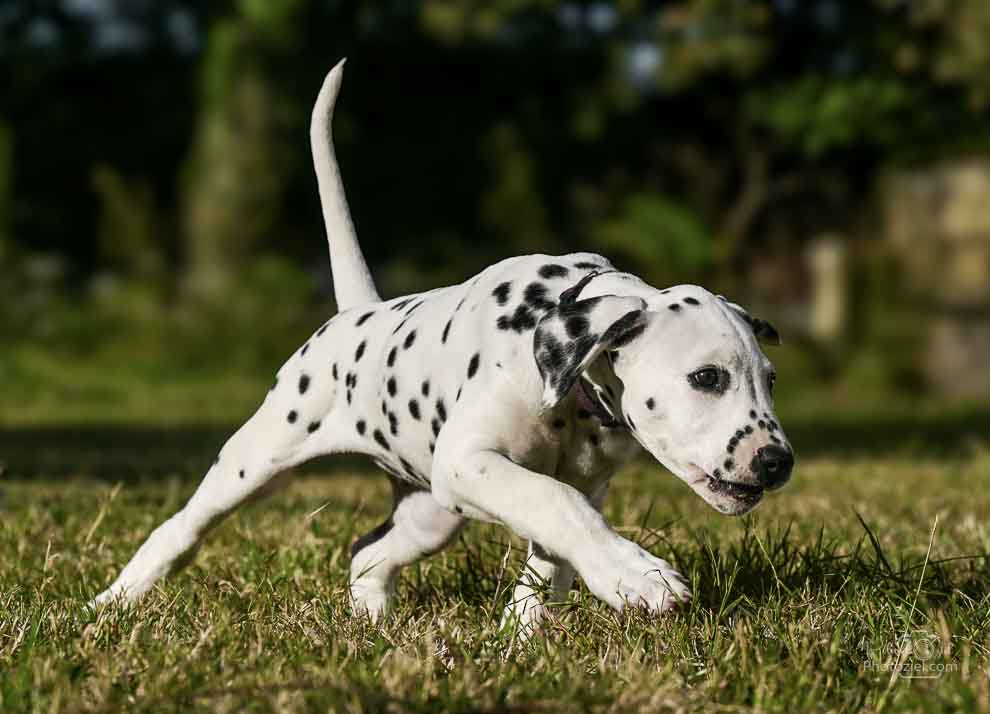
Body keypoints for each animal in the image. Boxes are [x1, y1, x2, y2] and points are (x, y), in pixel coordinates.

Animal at [89, 62, 796, 628]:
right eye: (706, 378)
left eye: (770, 379)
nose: (776, 462)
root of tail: (357, 312)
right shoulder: (472, 462)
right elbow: (556, 505)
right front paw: (638, 578)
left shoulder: (563, 483)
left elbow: (554, 550)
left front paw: (525, 633)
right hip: (258, 462)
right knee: (181, 529)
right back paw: (114, 602)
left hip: (431, 512)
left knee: (367, 553)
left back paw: (375, 625)